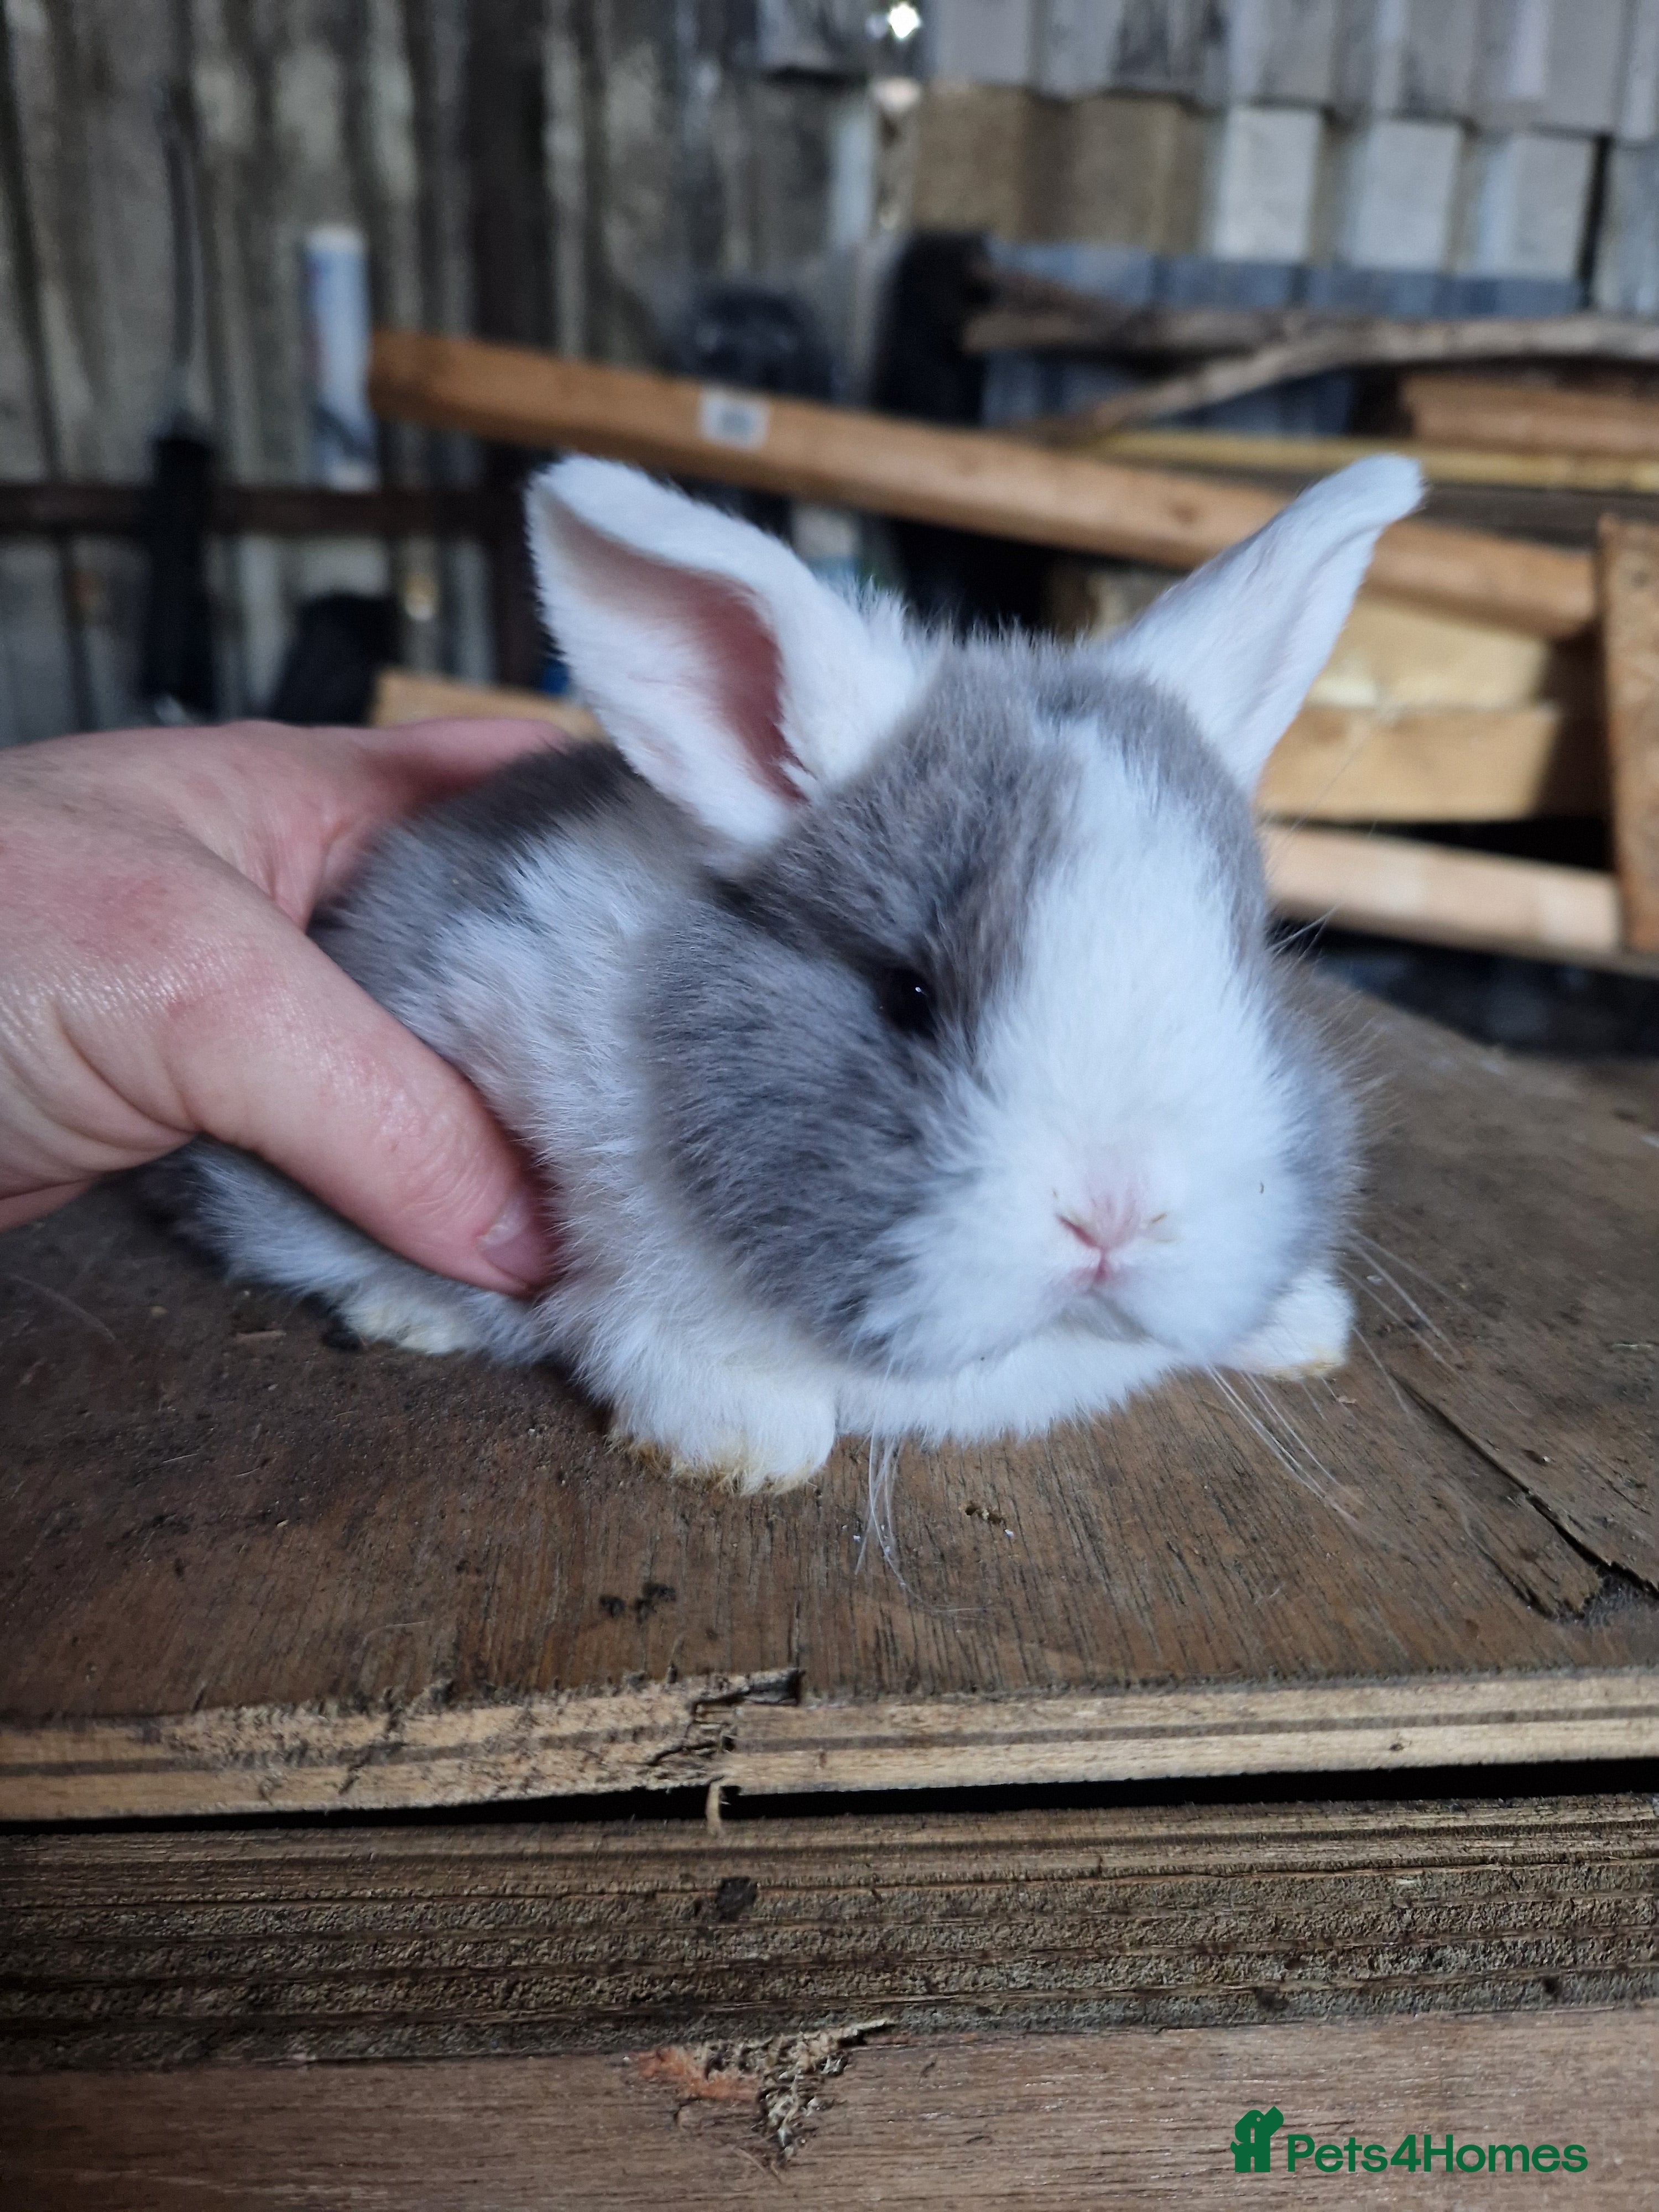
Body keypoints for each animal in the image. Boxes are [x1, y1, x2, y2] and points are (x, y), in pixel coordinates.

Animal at [159, 450, 1422, 1490]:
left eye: (1244, 962)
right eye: (908, 994)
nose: (1115, 1212)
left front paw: (1304, 1328)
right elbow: (634, 1334)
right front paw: (744, 1439)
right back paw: (405, 1313)